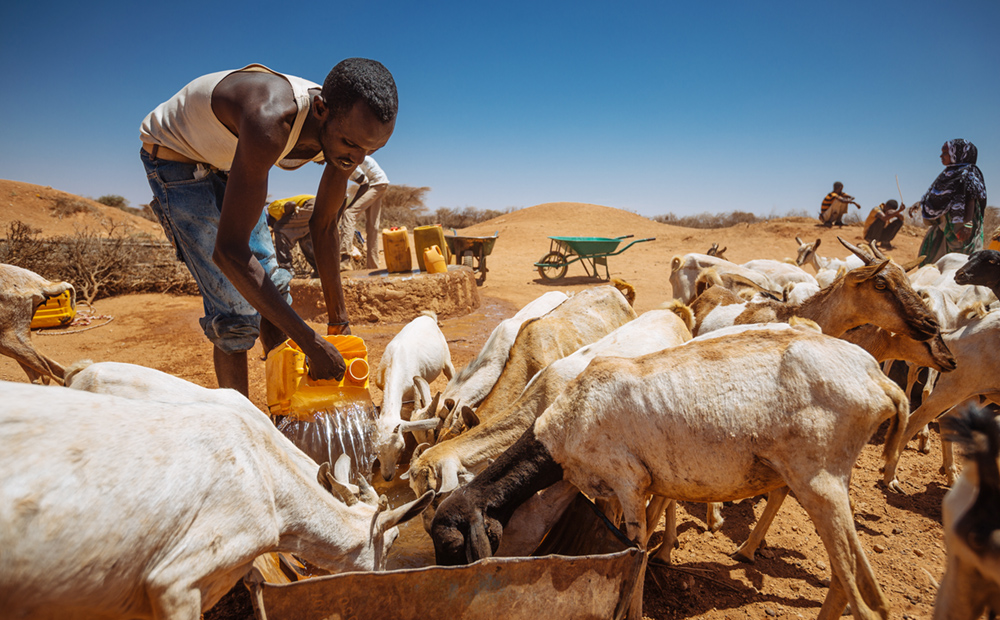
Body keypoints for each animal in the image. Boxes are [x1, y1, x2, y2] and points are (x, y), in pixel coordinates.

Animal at [372, 312, 458, 482]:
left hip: (446, 359)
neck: (395, 363)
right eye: (376, 450)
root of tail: (427, 317)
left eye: (401, 448)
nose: (387, 476)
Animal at [434, 324, 904, 620]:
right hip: (826, 482)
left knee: (861, 595)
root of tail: (880, 381)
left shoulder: (629, 482)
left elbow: (637, 552)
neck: (562, 427)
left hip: (819, 480)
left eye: (453, 544)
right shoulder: (610, 490)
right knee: (856, 583)